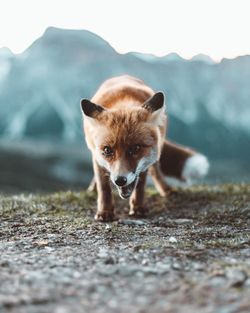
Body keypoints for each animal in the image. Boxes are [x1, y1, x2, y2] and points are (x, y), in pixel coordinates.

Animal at [80, 74, 209, 221]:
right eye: (107, 150)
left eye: (135, 148)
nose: (120, 181)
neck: (123, 101)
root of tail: (122, 75)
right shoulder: (96, 155)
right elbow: (104, 187)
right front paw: (105, 211)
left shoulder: (145, 163)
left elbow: (140, 185)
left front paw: (137, 207)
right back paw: (92, 189)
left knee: (156, 171)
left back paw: (166, 189)